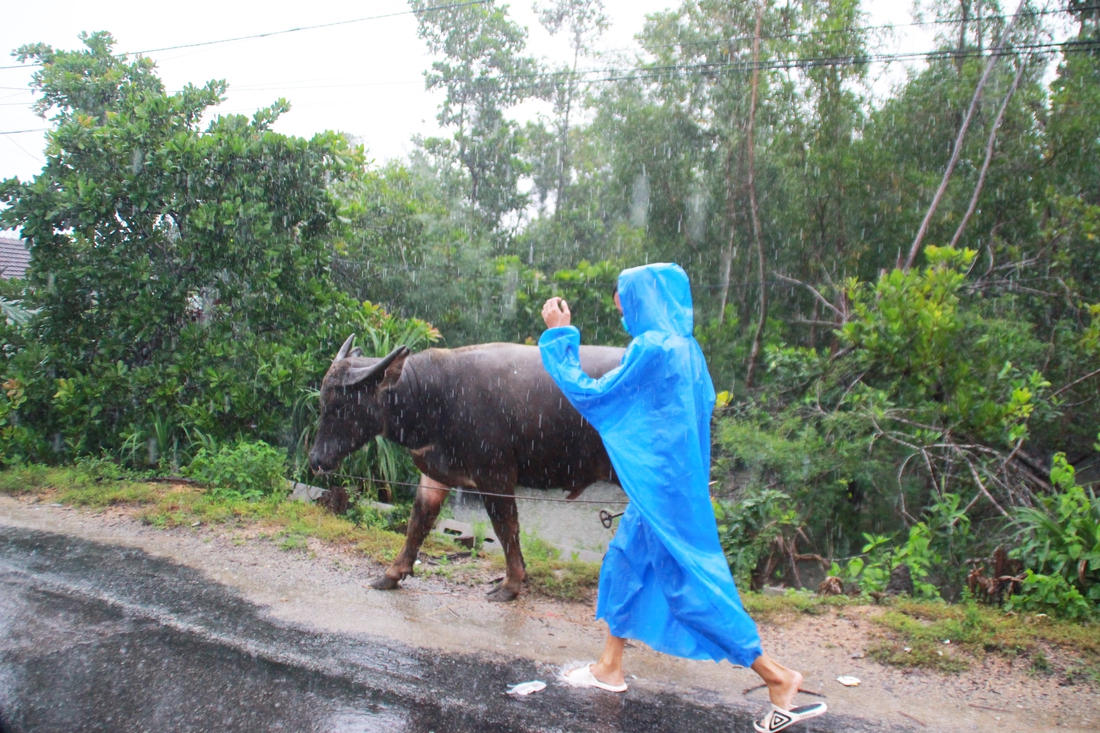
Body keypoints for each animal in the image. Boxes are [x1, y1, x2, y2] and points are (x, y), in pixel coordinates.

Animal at [305, 336, 624, 598]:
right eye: (322, 401)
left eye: (342, 406)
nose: (316, 459)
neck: (433, 399)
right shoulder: (435, 473)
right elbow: (418, 521)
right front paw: (392, 574)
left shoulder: (495, 475)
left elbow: (506, 527)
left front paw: (510, 585)